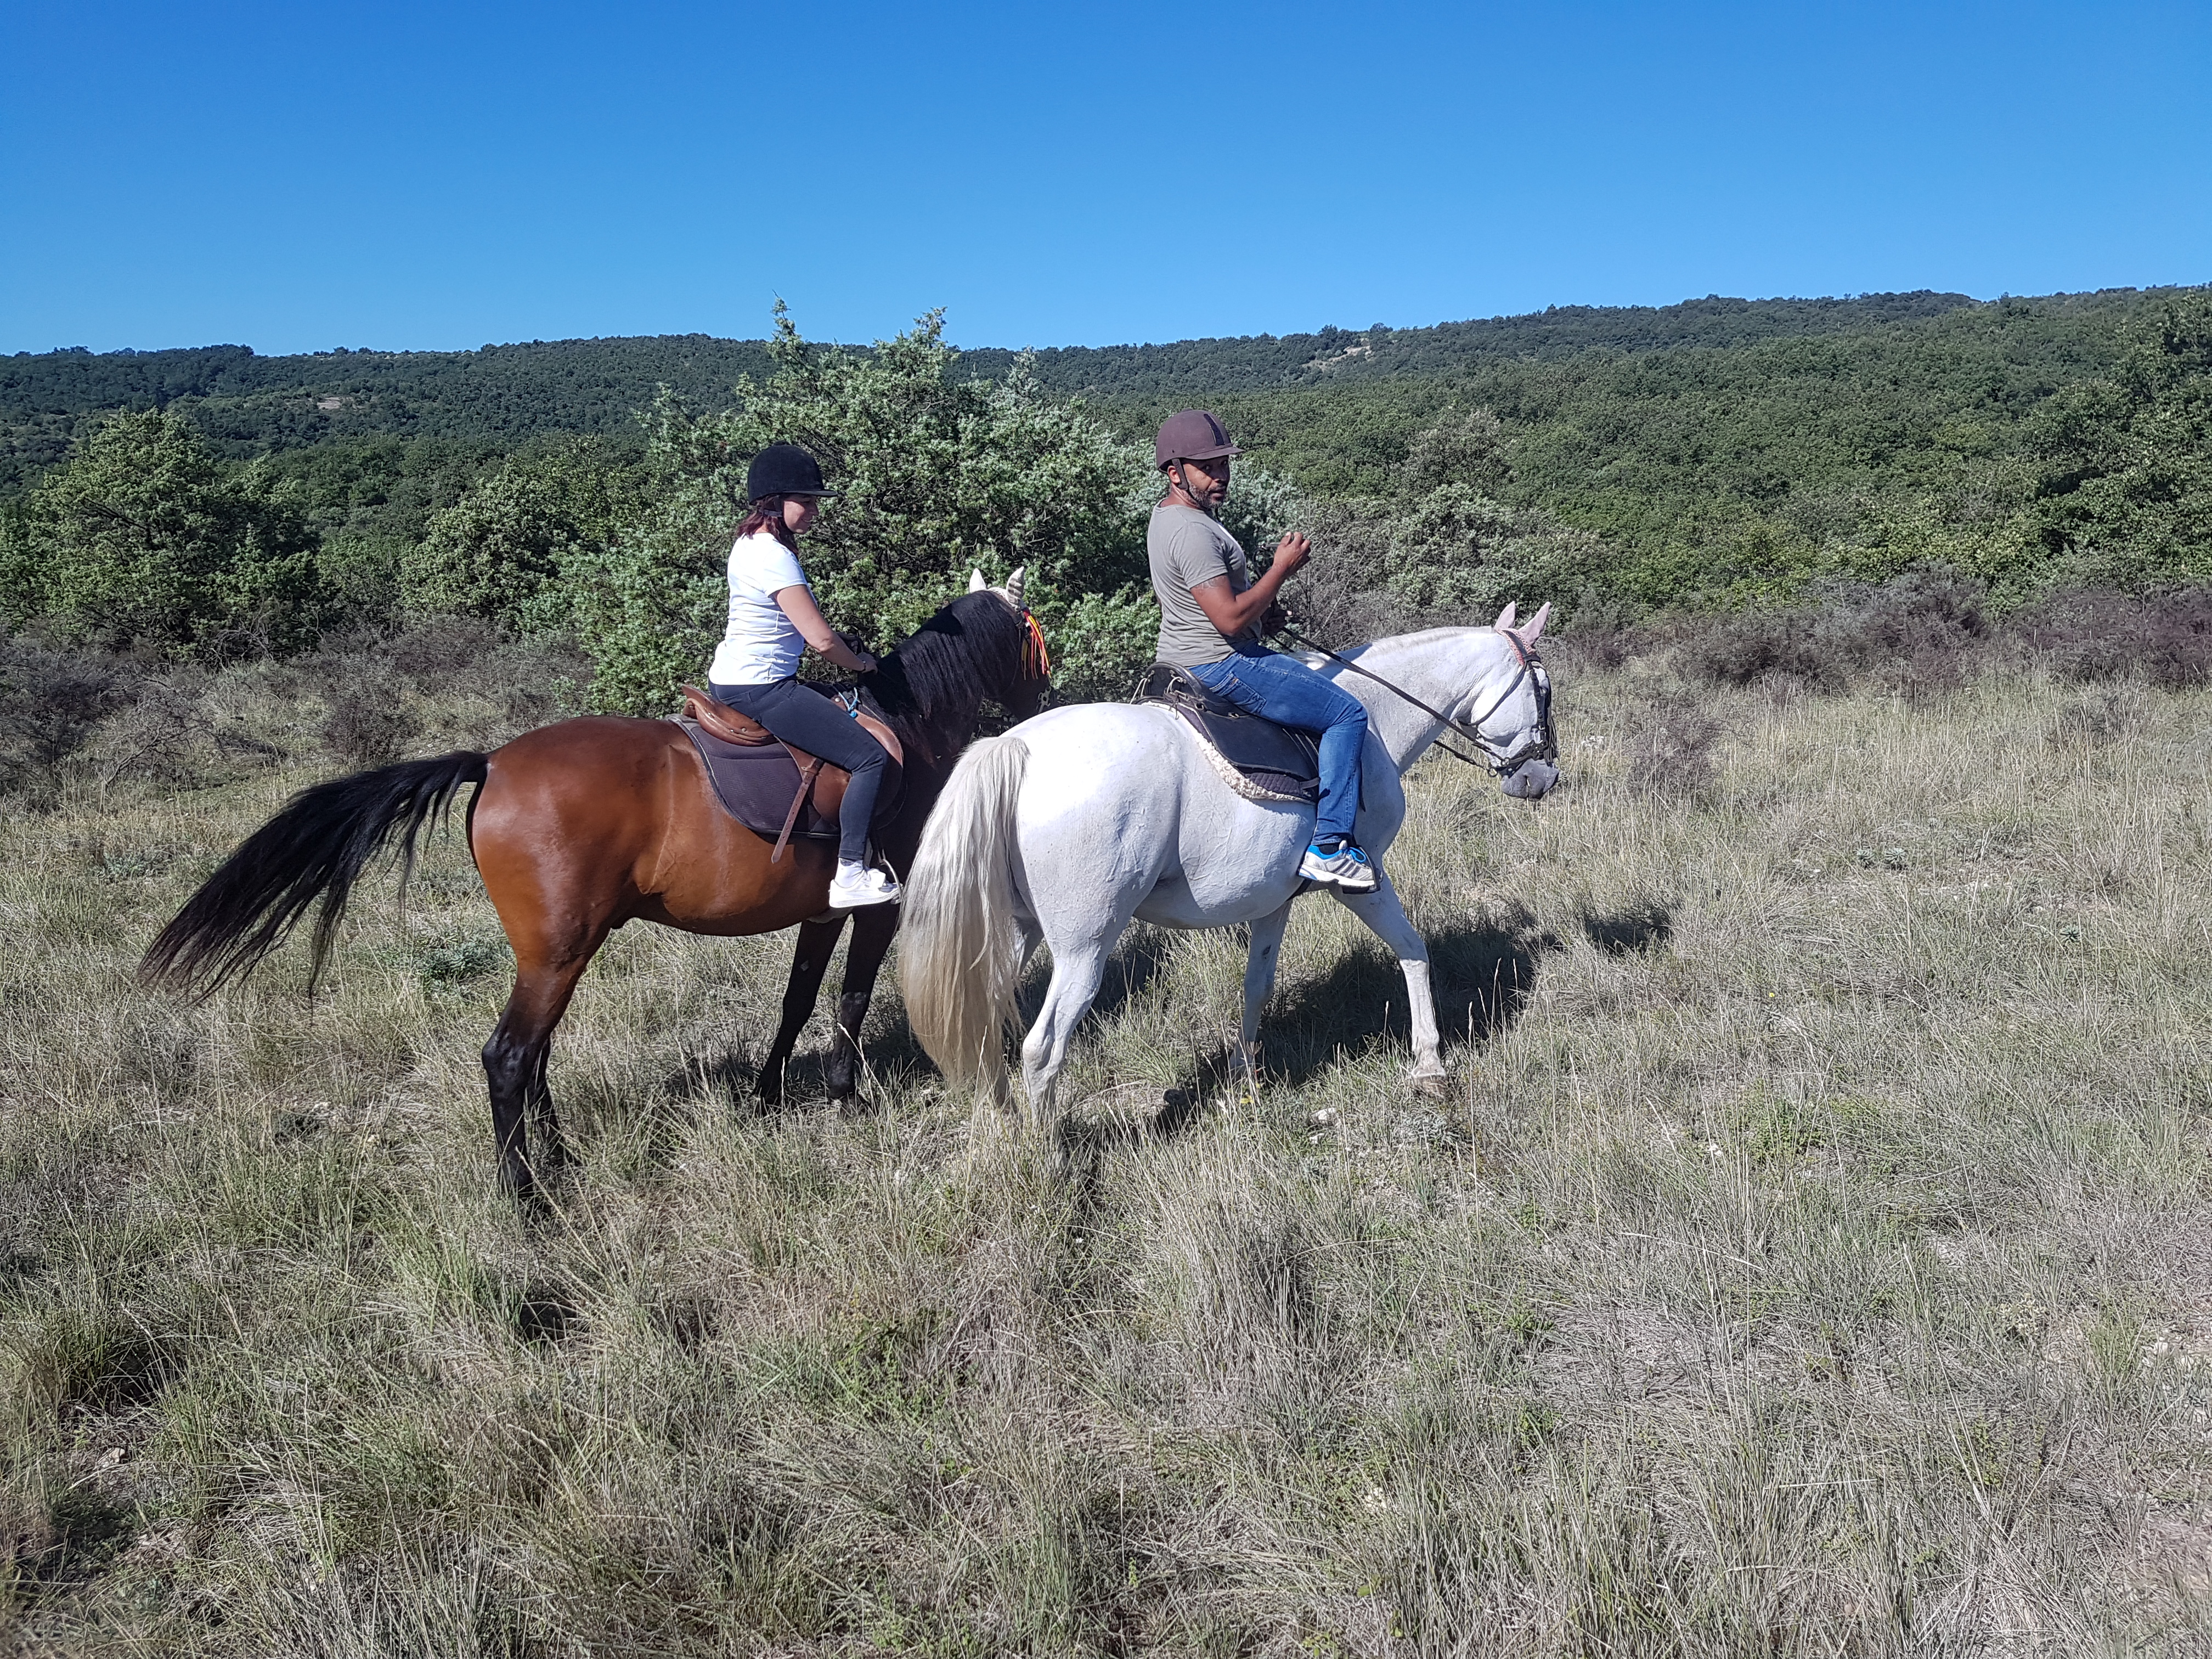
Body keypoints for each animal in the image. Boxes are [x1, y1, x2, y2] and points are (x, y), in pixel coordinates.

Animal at [143, 579, 1048, 1203]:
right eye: (1030, 640)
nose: (1044, 699)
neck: (907, 727)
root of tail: (492, 764)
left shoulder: (823, 913)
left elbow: (797, 999)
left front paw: (768, 1095)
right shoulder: (878, 908)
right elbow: (852, 1000)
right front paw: (844, 1099)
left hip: (557, 951)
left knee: (534, 1057)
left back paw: (559, 1159)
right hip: (560, 952)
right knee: (509, 1057)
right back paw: (527, 1195)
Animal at [893, 597, 1557, 1132]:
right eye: (1544, 688)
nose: (1540, 777)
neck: (1373, 718)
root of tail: (1017, 748)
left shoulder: (1272, 900)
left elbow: (1257, 984)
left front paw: (1245, 1078)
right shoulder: (1363, 883)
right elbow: (1413, 950)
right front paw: (1429, 1064)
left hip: (1015, 932)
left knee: (986, 1030)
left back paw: (1005, 1132)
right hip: (1084, 947)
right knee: (1042, 1048)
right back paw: (1049, 1159)